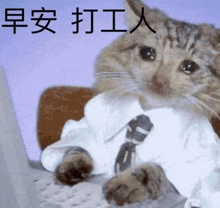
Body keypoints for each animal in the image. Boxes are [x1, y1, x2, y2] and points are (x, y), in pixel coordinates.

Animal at [53, 0, 220, 206]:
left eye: (189, 66)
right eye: (147, 52)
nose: (158, 81)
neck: (146, 114)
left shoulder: (197, 166)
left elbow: (154, 170)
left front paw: (128, 183)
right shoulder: (88, 129)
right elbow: (76, 146)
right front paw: (72, 164)